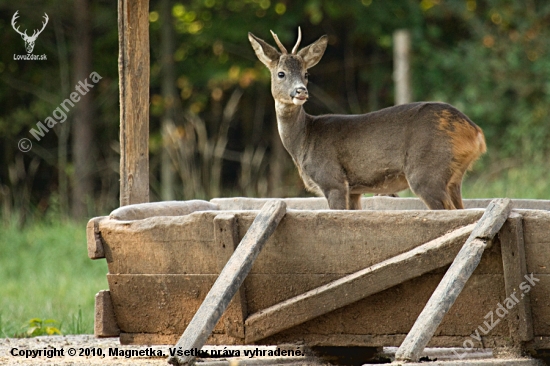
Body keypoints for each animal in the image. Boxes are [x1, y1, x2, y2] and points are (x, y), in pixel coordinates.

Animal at [250, 28, 488, 210]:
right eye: (281, 73)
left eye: (306, 74)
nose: (301, 91)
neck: (303, 139)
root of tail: (475, 132)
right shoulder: (355, 190)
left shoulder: (333, 180)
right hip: (454, 177)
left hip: (427, 171)